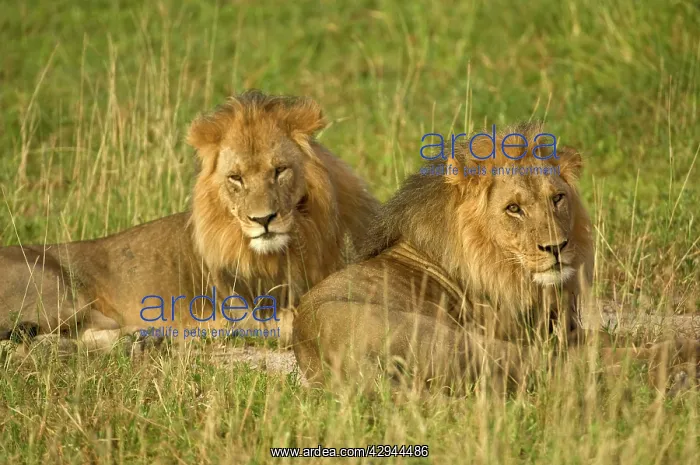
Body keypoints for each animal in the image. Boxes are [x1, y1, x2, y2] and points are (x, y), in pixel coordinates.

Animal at [0, 90, 379, 351]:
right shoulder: (245, 306)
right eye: (236, 178)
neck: (296, 241)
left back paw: (142, 339)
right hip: (58, 295)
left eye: (279, 170)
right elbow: (290, 320)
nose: (264, 220)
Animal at [293, 122, 699, 395]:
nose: (556, 247)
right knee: (568, 368)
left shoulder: (557, 328)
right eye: (513, 209)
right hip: (467, 343)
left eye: (557, 198)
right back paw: (677, 367)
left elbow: (615, 333)